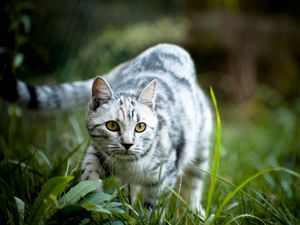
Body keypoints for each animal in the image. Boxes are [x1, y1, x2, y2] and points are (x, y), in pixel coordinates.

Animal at [0, 43, 212, 214]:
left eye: (140, 127)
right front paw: (98, 202)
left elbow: (154, 206)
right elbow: (88, 173)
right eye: (112, 125)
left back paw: (195, 211)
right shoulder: (98, 153)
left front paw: (145, 216)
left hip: (201, 148)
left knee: (194, 182)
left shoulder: (165, 175)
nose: (127, 144)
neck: (130, 165)